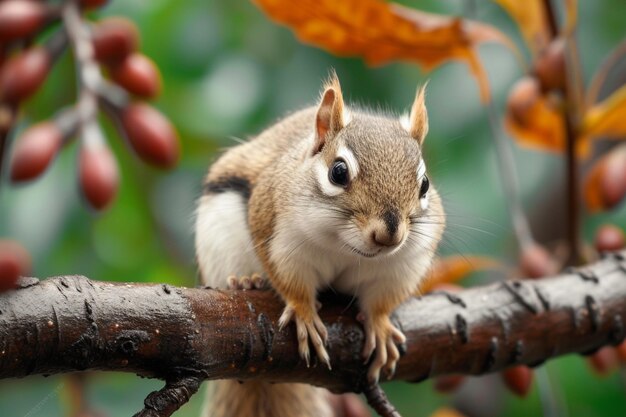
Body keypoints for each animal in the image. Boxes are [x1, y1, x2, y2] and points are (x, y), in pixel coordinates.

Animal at [195, 72, 444, 416]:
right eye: (338, 172)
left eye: (425, 185)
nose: (389, 235)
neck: (345, 248)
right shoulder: (280, 240)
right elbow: (293, 283)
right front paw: (303, 313)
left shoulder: (402, 265)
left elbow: (381, 301)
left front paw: (380, 327)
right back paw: (248, 281)